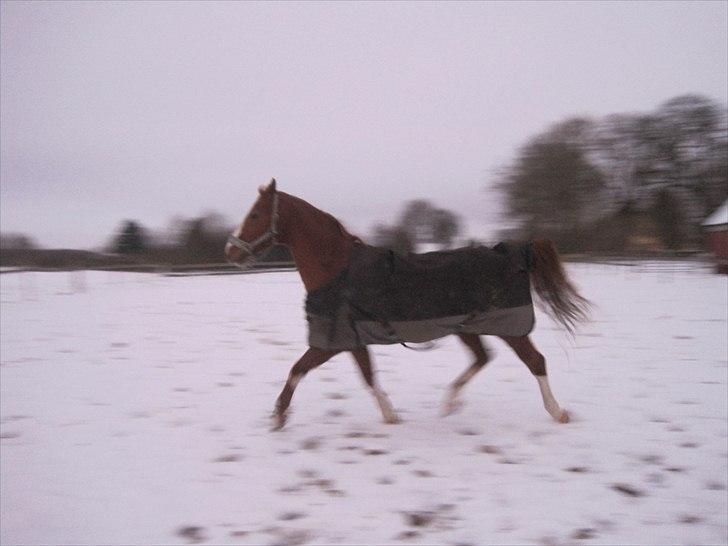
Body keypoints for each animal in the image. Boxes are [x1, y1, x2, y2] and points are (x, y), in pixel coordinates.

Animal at [225, 178, 588, 430]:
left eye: (255, 214)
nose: (231, 251)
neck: (338, 271)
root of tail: (511, 254)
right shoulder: (351, 341)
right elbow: (366, 375)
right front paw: (391, 415)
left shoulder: (332, 341)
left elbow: (299, 369)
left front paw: (278, 416)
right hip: (466, 328)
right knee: (482, 357)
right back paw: (450, 403)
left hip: (508, 327)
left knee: (535, 361)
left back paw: (558, 412)